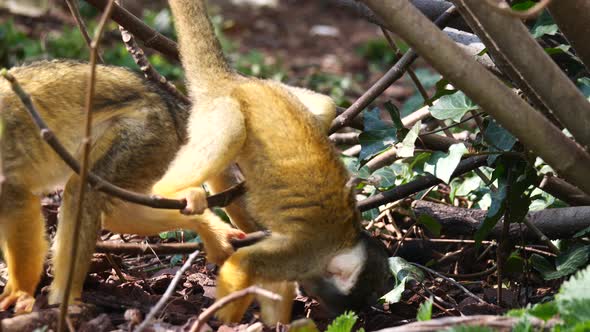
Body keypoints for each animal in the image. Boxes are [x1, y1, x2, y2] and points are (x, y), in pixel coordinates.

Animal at [0, 60, 245, 314]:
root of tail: (167, 101)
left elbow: (19, 203)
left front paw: (19, 291)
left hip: (146, 132)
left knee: (83, 191)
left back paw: (64, 302)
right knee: (118, 213)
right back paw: (206, 226)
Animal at [153, 0, 396, 322]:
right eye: (356, 299)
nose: (348, 313)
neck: (342, 242)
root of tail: (232, 81)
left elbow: (273, 283)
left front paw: (278, 322)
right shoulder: (305, 252)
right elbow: (245, 264)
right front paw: (224, 323)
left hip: (272, 89)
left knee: (326, 106)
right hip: (219, 108)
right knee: (231, 131)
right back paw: (170, 191)